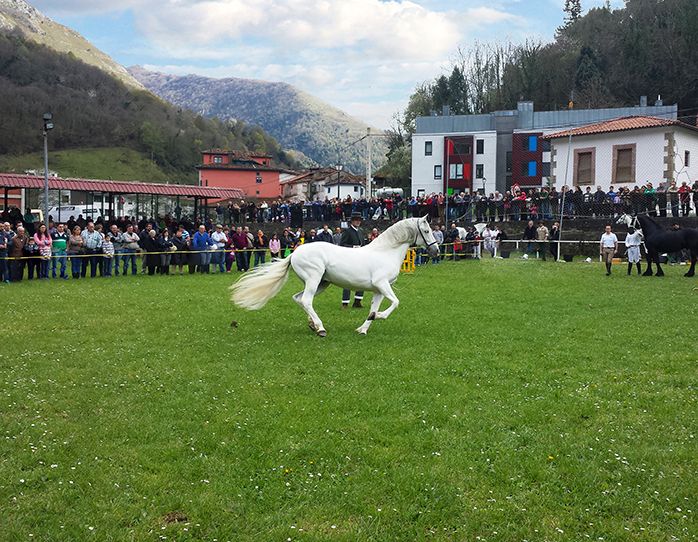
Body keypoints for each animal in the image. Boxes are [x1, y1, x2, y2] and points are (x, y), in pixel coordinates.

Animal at [231, 217, 438, 336]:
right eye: (427, 231)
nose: (435, 250)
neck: (385, 252)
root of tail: (295, 253)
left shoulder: (379, 289)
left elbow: (374, 308)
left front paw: (363, 328)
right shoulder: (383, 284)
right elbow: (395, 302)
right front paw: (379, 316)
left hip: (322, 283)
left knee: (298, 299)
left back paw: (313, 325)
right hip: (314, 280)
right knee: (306, 300)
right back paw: (321, 328)